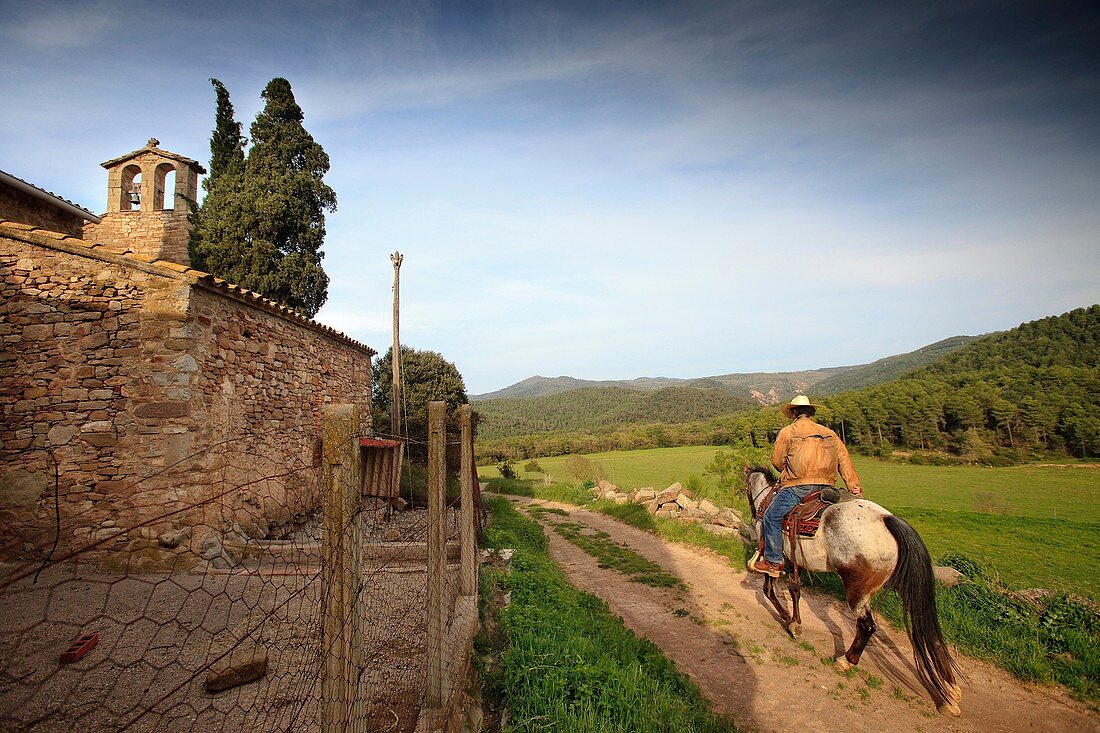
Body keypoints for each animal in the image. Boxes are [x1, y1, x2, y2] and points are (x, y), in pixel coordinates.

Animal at [743, 462, 959, 713]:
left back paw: (846, 661)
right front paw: (795, 622)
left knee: (867, 627)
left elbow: (769, 589)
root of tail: (887, 519)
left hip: (858, 591)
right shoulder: (795, 560)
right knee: (925, 627)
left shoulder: (774, 556)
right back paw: (950, 693)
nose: (753, 511)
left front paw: (790, 622)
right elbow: (795, 590)